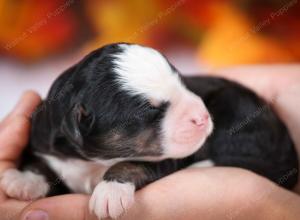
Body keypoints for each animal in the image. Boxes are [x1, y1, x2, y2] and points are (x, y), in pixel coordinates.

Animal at [1, 43, 298, 218]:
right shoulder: (46, 139)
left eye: (183, 83)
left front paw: (110, 191)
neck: (94, 161)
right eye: (150, 111)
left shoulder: (170, 159)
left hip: (238, 110)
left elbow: (133, 164)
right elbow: (42, 161)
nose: (203, 117)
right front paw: (22, 180)